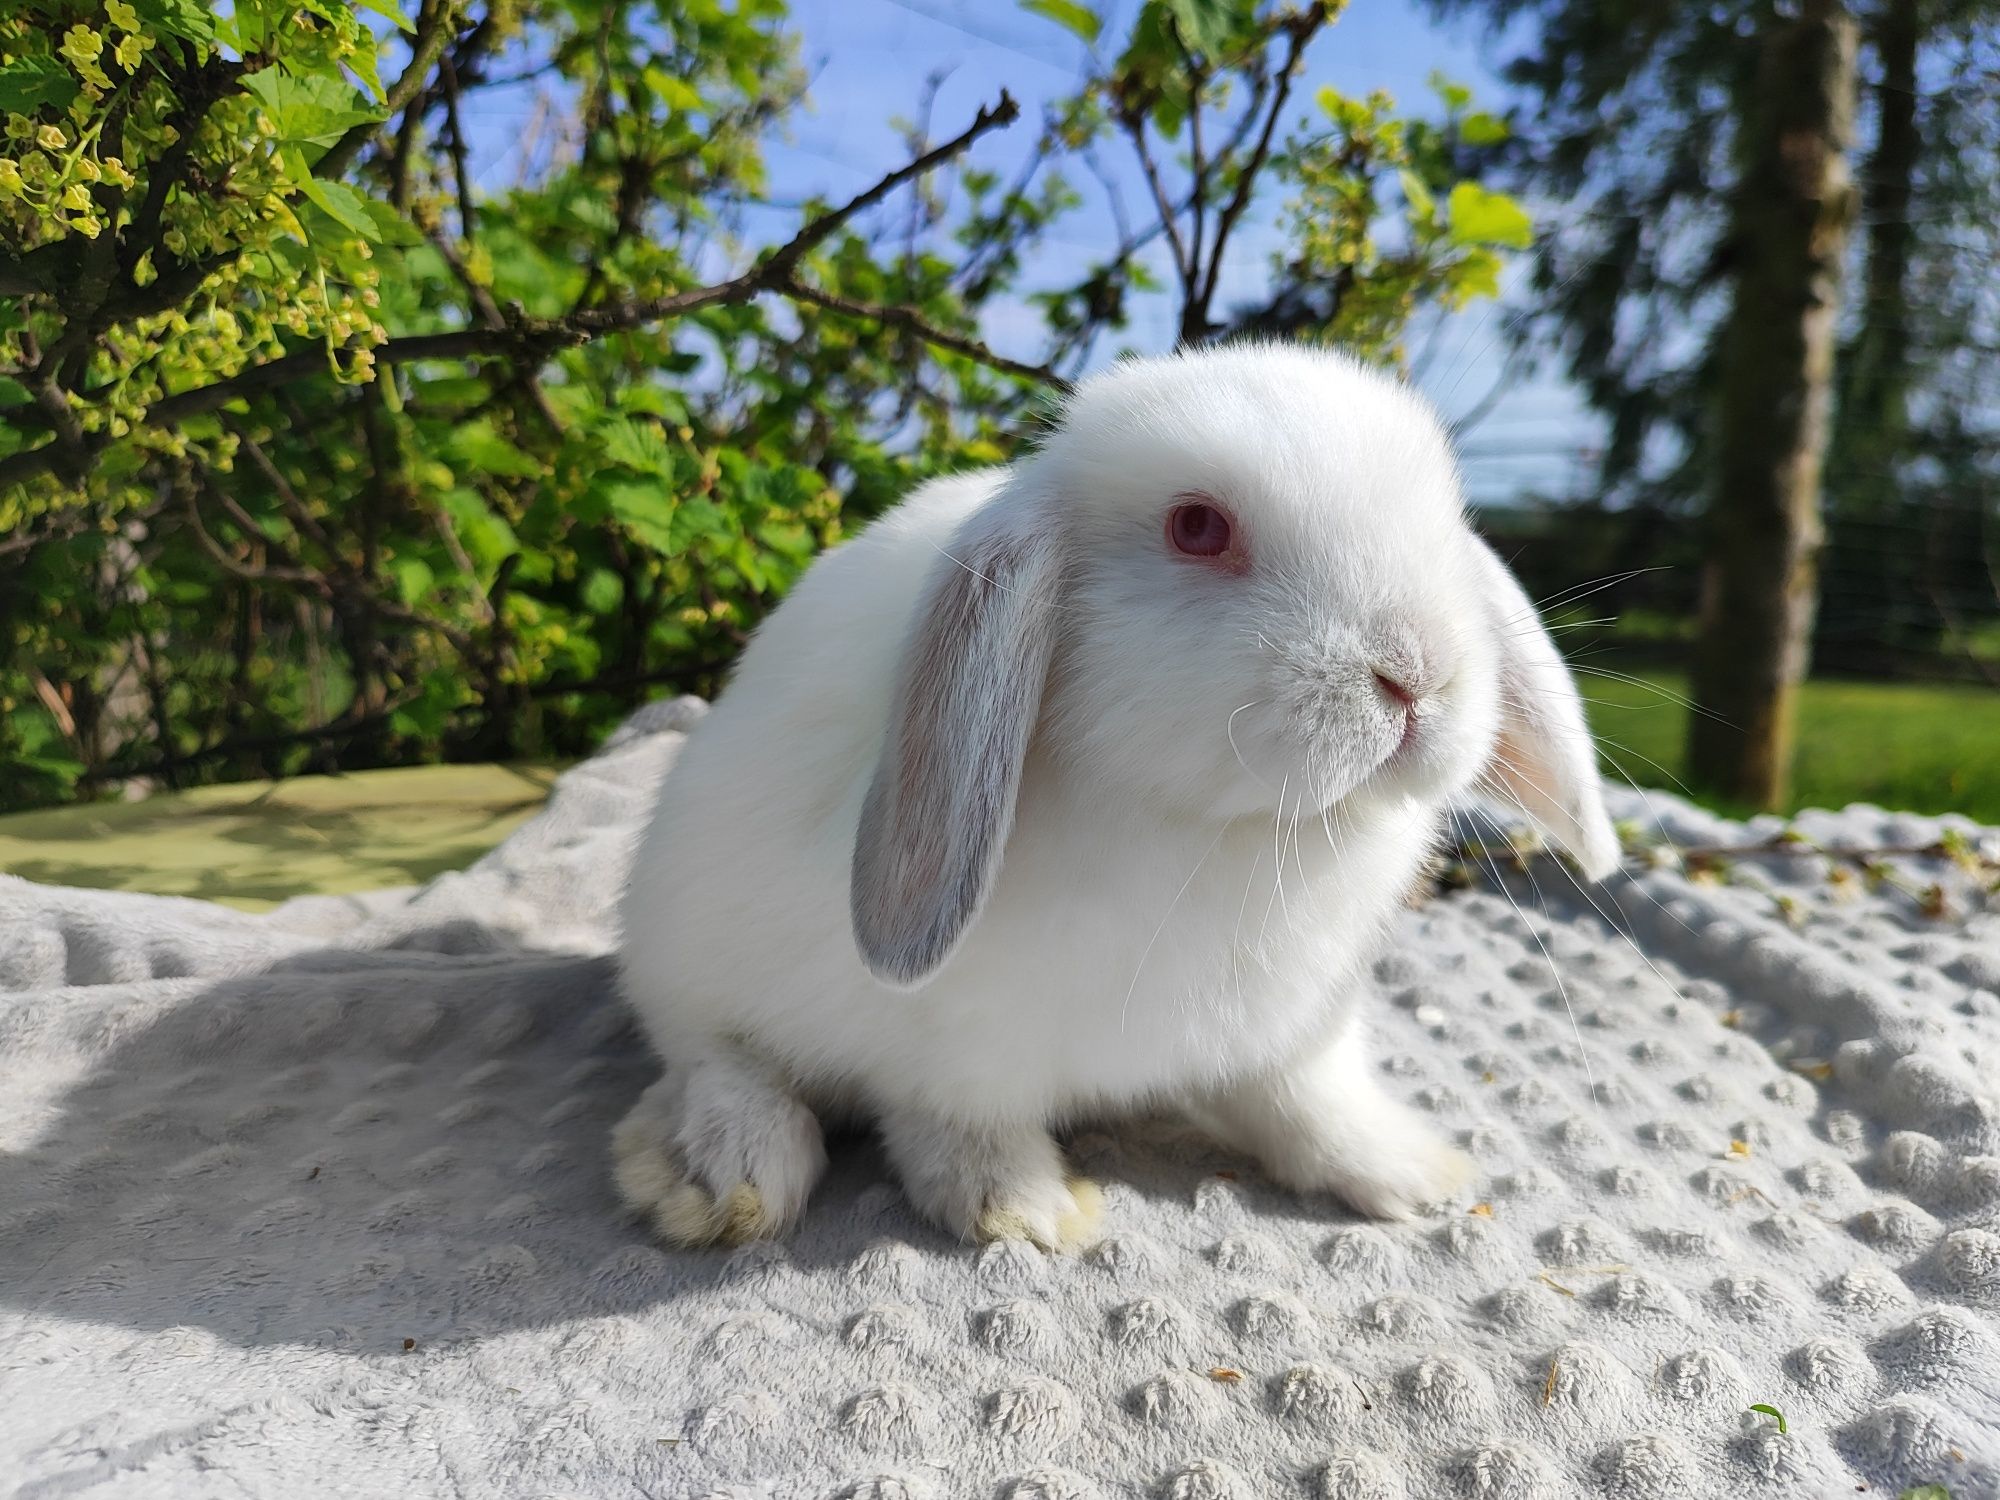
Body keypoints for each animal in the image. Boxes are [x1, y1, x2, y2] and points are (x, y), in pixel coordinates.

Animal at [616, 340, 1616, 1256]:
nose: (1418, 676)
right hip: (686, 947)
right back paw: (722, 1174)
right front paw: (1023, 1209)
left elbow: (1307, 1100)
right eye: (1198, 528)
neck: (1230, 831)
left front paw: (1410, 1172)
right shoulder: (954, 1052)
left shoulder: (1295, 1027)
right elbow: (957, 1125)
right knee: (709, 1056)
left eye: (1446, 523)